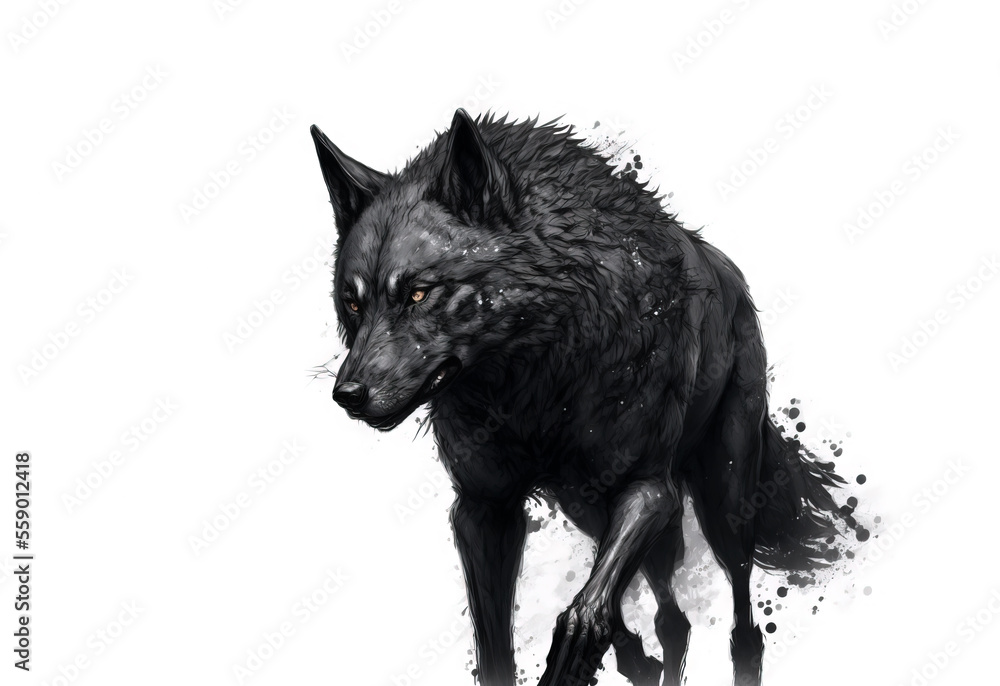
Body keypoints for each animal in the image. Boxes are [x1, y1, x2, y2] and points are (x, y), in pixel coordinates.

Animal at [310, 110, 846, 686]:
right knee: (671, 618)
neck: (531, 384)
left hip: (724, 501)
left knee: (741, 617)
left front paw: (575, 650)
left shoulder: (647, 489)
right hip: (588, 507)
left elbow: (585, 608)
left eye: (416, 292)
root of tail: (731, 275)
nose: (347, 394)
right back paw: (640, 657)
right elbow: (495, 642)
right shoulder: (484, 509)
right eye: (352, 302)